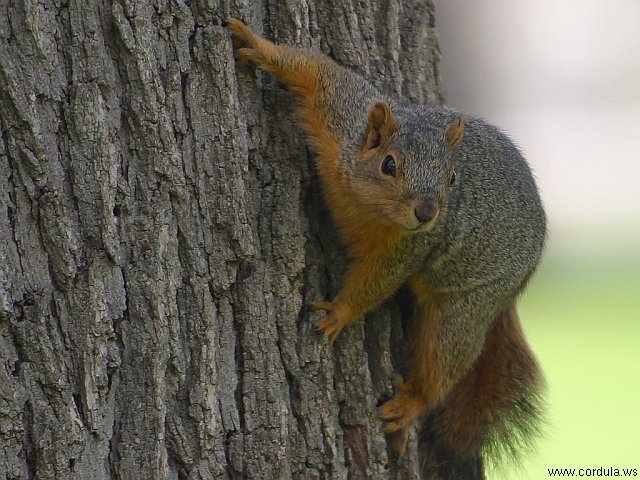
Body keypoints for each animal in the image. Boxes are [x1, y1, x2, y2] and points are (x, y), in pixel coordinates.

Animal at [229, 18, 544, 472]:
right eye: (389, 164)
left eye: (452, 177)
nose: (427, 212)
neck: (364, 203)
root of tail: (522, 278)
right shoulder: (343, 114)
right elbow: (317, 71)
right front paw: (256, 45)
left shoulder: (409, 249)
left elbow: (377, 282)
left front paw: (339, 313)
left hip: (466, 307)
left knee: (444, 362)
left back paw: (409, 405)